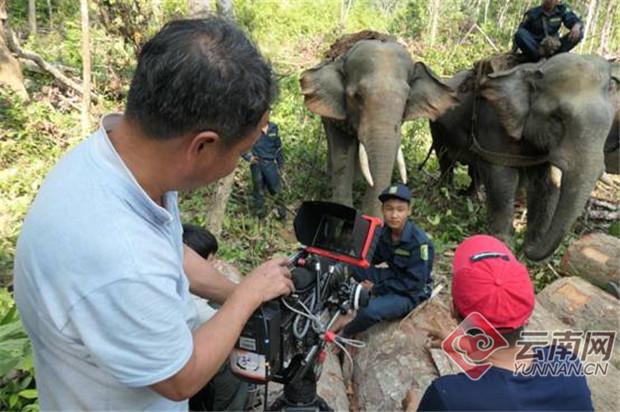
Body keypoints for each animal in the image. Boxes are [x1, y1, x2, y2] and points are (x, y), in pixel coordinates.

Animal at [432, 54, 616, 260]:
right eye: (558, 118)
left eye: (609, 125)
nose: (526, 250)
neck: (535, 70)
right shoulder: (494, 122)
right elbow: (501, 178)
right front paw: (504, 244)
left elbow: (546, 185)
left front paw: (531, 249)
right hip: (437, 127)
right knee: (445, 159)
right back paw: (445, 192)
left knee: (474, 169)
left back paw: (471, 197)